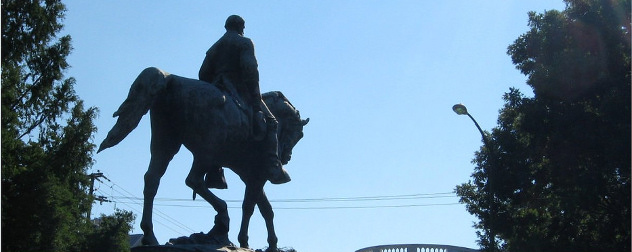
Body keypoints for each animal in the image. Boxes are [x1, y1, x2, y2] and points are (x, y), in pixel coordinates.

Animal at [95, 66, 308, 250]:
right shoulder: (258, 175)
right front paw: (247, 241)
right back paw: (222, 218)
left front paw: (266, 244)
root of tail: (172, 80)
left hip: (165, 143)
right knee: (193, 180)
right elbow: (250, 206)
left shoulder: (250, 176)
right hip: (207, 153)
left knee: (152, 179)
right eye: (299, 135)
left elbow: (265, 208)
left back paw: (150, 236)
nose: (285, 157)